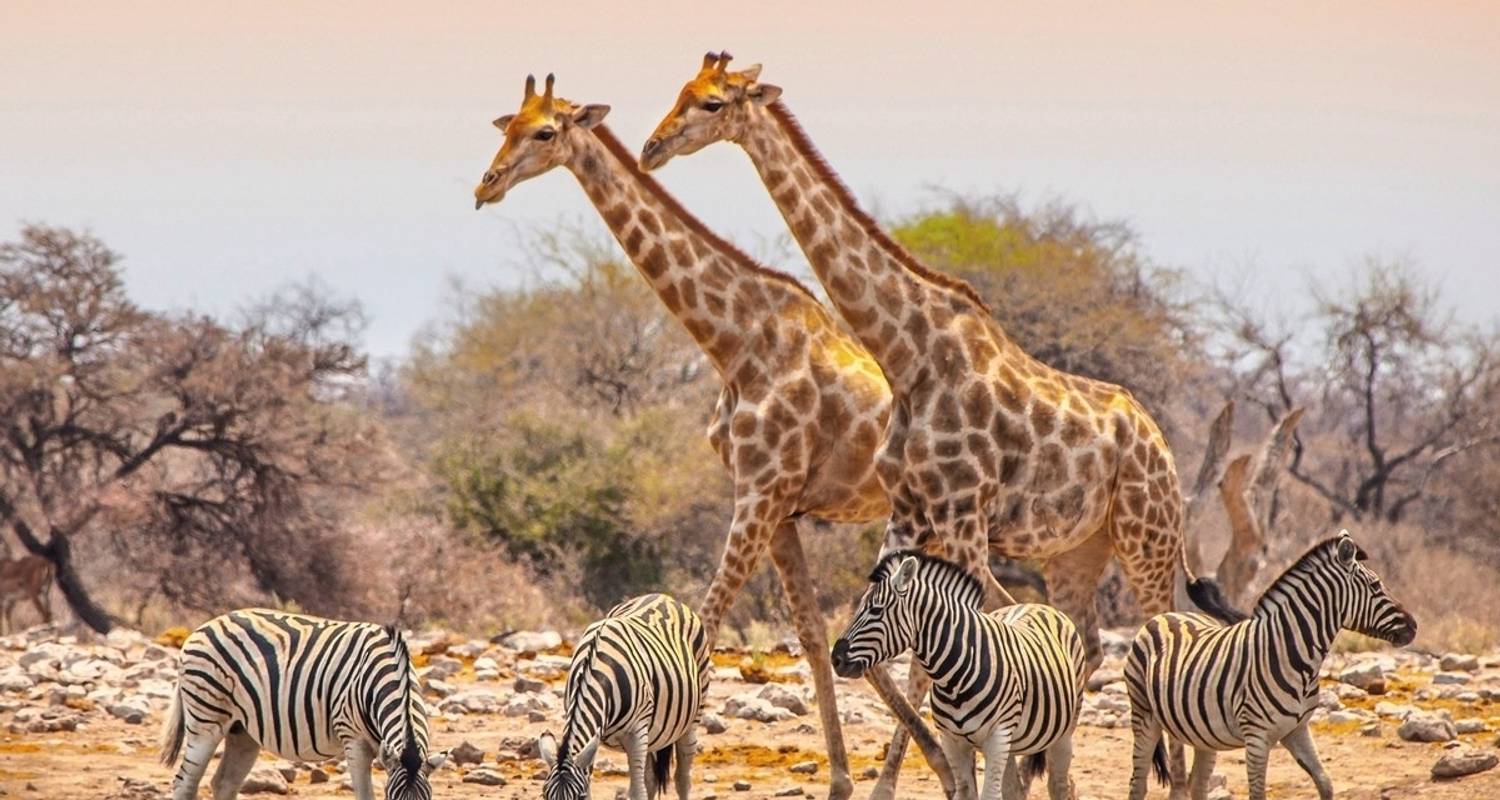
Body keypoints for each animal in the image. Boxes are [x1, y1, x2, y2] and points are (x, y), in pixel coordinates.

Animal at [163, 609, 447, 792]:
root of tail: (204, 626)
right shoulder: (353, 737)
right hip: (206, 717)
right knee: (185, 782)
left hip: (242, 730)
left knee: (224, 782)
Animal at [537, 588, 711, 798]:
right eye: (545, 795)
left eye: (579, 797)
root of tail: (663, 596)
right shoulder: (594, 739)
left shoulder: (636, 733)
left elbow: (637, 792)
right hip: (652, 735)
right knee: (651, 779)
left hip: (692, 718)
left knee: (682, 778)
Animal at [828, 549, 1086, 798]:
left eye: (876, 610)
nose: (836, 659)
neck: (954, 680)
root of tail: (1036, 604)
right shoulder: (952, 740)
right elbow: (966, 792)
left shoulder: (997, 736)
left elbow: (990, 795)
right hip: (1012, 743)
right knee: (1013, 789)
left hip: (1063, 732)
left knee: (1058, 785)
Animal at [1128, 531, 1416, 798]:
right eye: (1376, 586)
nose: (1414, 626)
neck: (1293, 656)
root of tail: (1165, 615)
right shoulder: (1256, 737)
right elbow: (1258, 794)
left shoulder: (1297, 730)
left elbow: (1325, 783)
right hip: (1144, 716)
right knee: (1138, 784)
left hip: (1203, 734)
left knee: (1197, 784)